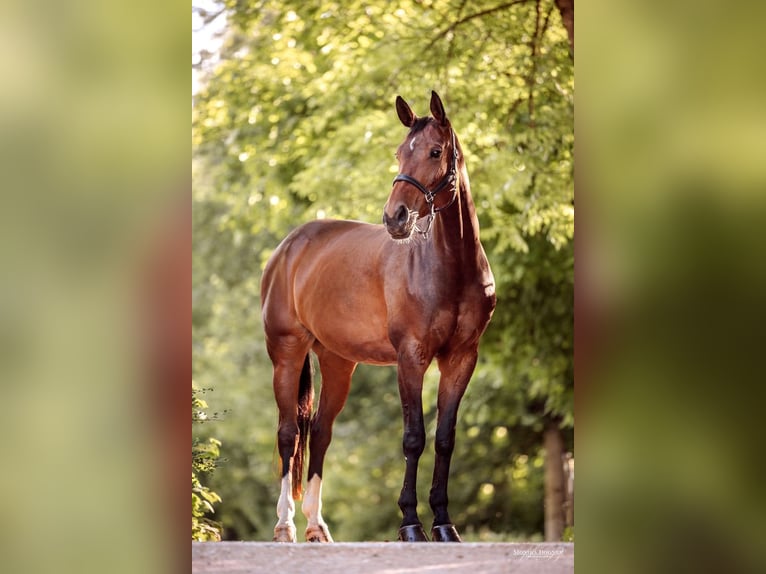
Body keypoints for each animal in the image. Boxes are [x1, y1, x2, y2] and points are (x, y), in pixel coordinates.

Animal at [260, 91, 496, 544]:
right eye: (399, 153)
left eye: (435, 151)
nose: (395, 218)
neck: (450, 268)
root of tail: (289, 246)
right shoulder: (411, 358)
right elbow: (413, 437)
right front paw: (410, 525)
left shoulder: (461, 358)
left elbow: (444, 438)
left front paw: (444, 524)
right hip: (286, 354)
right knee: (288, 435)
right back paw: (285, 526)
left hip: (338, 361)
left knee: (320, 432)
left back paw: (317, 526)